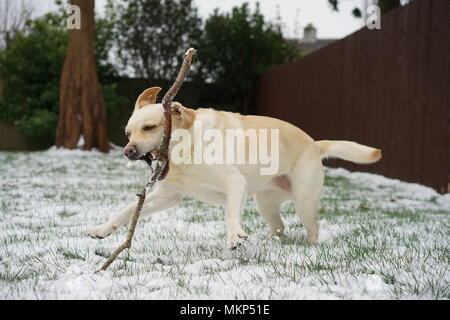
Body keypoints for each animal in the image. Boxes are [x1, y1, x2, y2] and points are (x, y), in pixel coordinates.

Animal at [89, 87, 382, 248]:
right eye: (127, 133)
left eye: (149, 128)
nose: (128, 151)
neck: (189, 150)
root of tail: (314, 144)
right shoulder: (168, 196)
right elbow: (127, 211)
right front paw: (103, 229)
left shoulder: (234, 183)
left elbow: (230, 214)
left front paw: (234, 238)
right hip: (265, 203)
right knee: (280, 226)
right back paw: (270, 243)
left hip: (303, 201)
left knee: (314, 228)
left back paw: (309, 249)